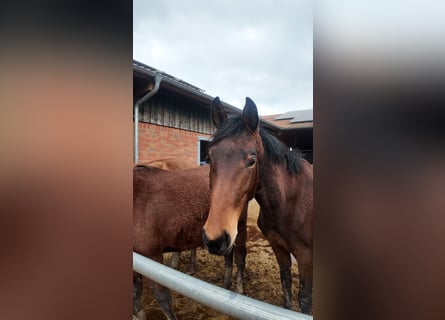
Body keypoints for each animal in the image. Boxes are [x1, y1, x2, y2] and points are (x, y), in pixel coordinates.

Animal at [134, 165, 248, 320]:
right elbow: (136, 296)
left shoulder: (152, 256)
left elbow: (163, 298)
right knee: (228, 256)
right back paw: (225, 284)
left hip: (239, 229)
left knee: (240, 258)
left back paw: (239, 290)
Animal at [202, 96, 312, 314]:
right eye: (209, 157)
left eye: (252, 160)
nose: (215, 238)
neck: (290, 202)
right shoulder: (279, 248)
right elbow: (286, 285)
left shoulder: (305, 256)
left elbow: (304, 299)